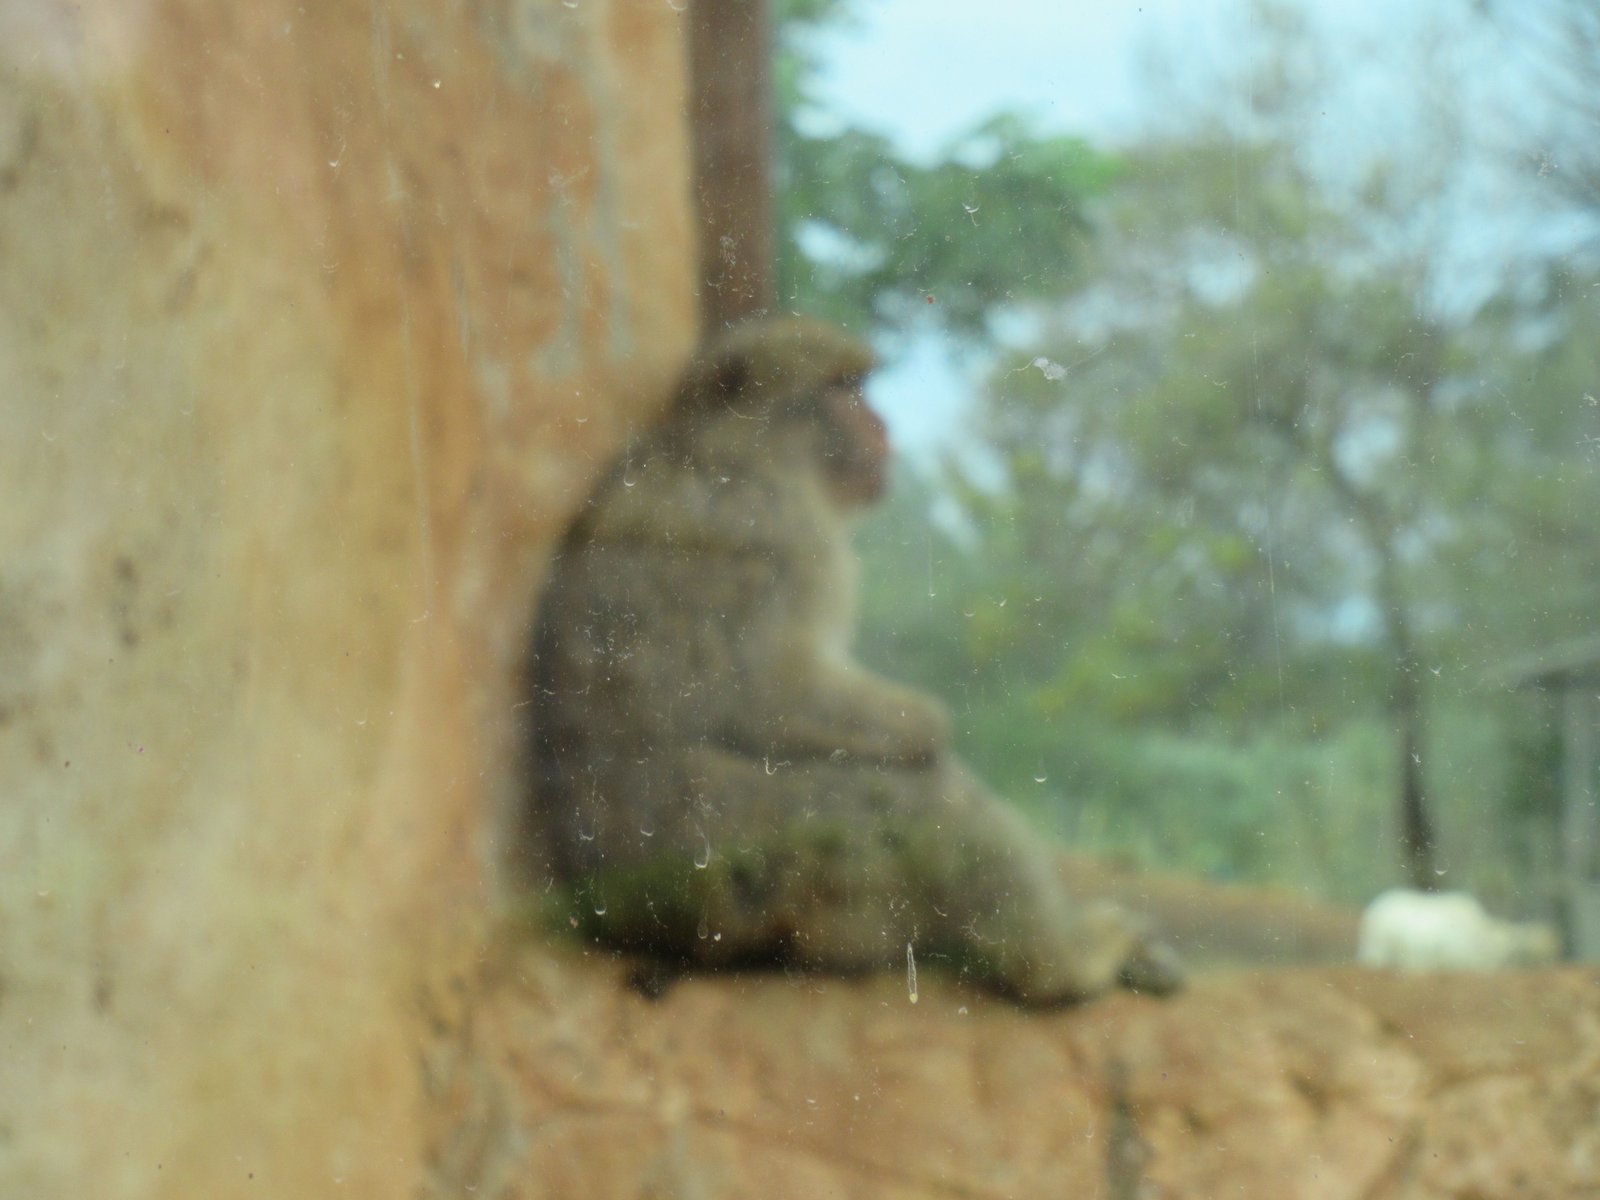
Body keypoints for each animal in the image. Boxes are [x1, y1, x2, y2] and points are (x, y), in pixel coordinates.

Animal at [530, 316, 1182, 1004]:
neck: (742, 448)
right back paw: (1064, 962)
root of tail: (629, 910)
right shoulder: (785, 525)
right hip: (761, 857)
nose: (884, 425)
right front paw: (930, 727)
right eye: (844, 389)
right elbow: (761, 697)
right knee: (920, 800)